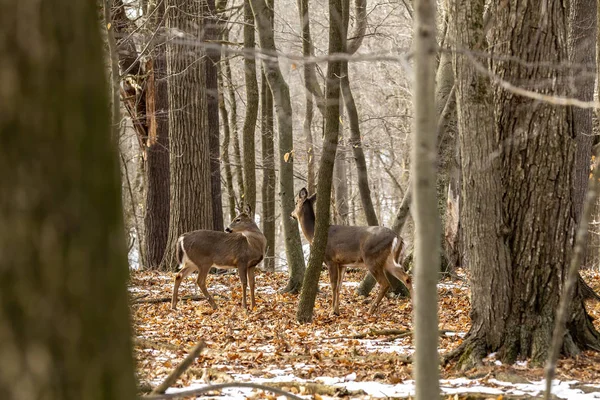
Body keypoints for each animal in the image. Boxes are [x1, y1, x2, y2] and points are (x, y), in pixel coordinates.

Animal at [290, 188, 412, 316]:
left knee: (385, 283)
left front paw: (332, 311)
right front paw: (337, 310)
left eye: (296, 202)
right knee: (407, 278)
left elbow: (333, 285)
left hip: (372, 258)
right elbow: (339, 286)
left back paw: (370, 310)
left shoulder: (330, 259)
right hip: (389, 261)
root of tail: (397, 237)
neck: (313, 233)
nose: (291, 214)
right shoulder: (342, 264)